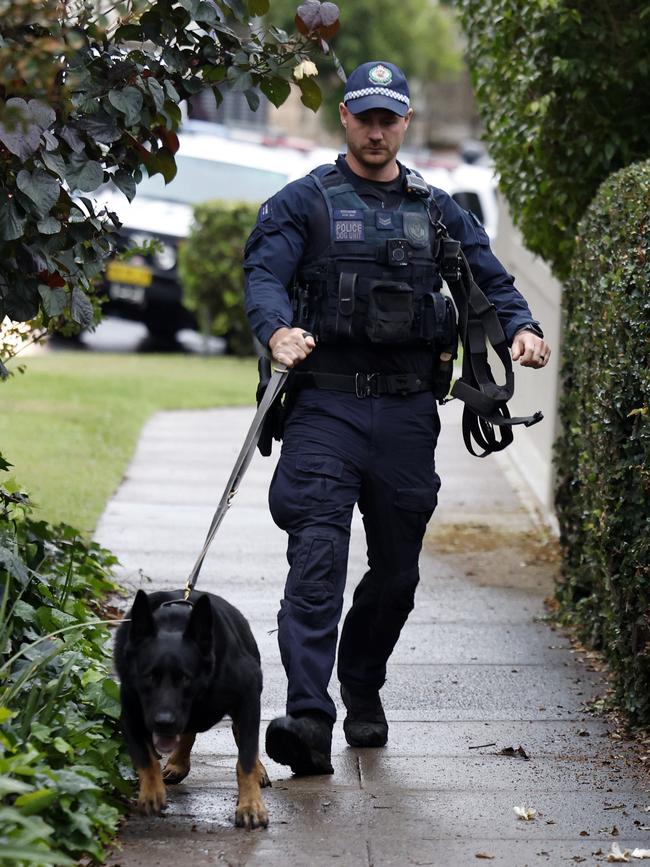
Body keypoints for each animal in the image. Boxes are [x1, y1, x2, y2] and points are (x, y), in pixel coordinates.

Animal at [114, 588, 268, 828]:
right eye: (149, 676)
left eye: (185, 678)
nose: (163, 721)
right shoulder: (131, 712)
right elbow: (145, 756)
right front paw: (151, 792)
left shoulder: (248, 696)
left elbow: (246, 759)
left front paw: (250, 805)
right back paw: (177, 763)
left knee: (239, 733)